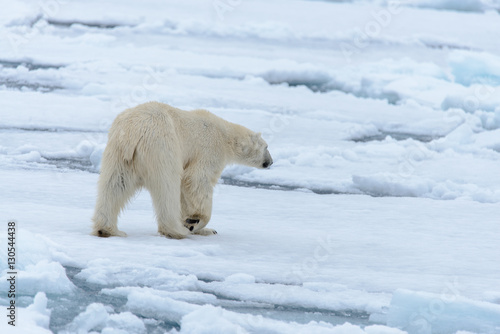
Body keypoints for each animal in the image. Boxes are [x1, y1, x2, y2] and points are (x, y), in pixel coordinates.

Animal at [94, 100, 274, 239]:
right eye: (266, 147)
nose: (270, 162)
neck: (225, 135)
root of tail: (132, 133)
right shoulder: (209, 150)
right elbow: (196, 180)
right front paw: (194, 222)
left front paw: (208, 229)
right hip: (162, 146)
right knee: (167, 187)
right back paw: (176, 230)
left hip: (118, 154)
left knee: (114, 184)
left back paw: (108, 229)